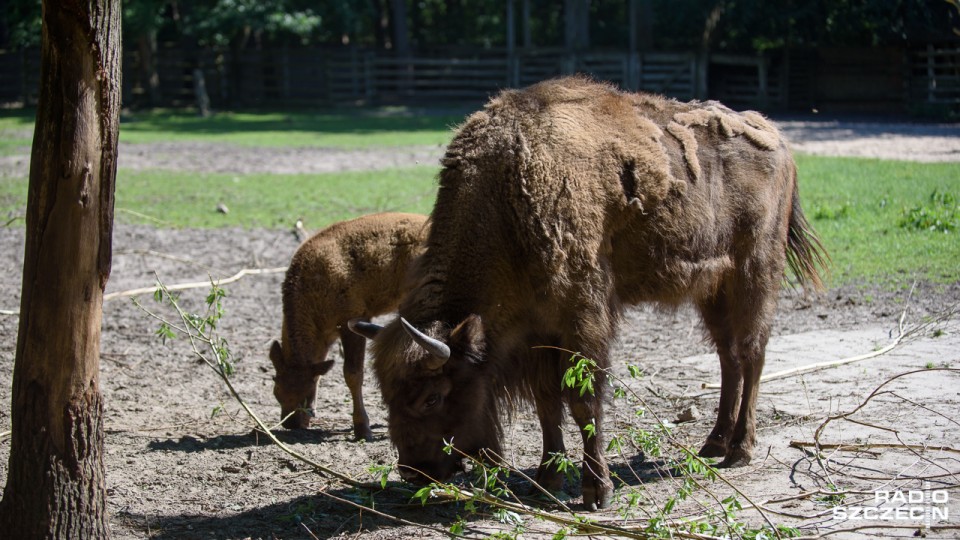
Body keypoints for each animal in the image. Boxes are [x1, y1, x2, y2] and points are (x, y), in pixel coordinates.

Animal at [266, 210, 424, 438]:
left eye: (306, 391)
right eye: (276, 387)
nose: (291, 423)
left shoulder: (352, 320)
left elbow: (353, 373)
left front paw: (362, 429)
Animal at [352, 77, 824, 510]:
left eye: (433, 396)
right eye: (387, 396)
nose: (413, 471)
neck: (508, 194)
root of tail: (778, 139)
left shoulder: (583, 319)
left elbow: (583, 402)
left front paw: (597, 491)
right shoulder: (536, 333)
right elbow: (547, 404)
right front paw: (548, 479)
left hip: (755, 272)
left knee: (752, 353)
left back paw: (740, 449)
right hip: (712, 288)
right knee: (728, 357)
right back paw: (713, 443)